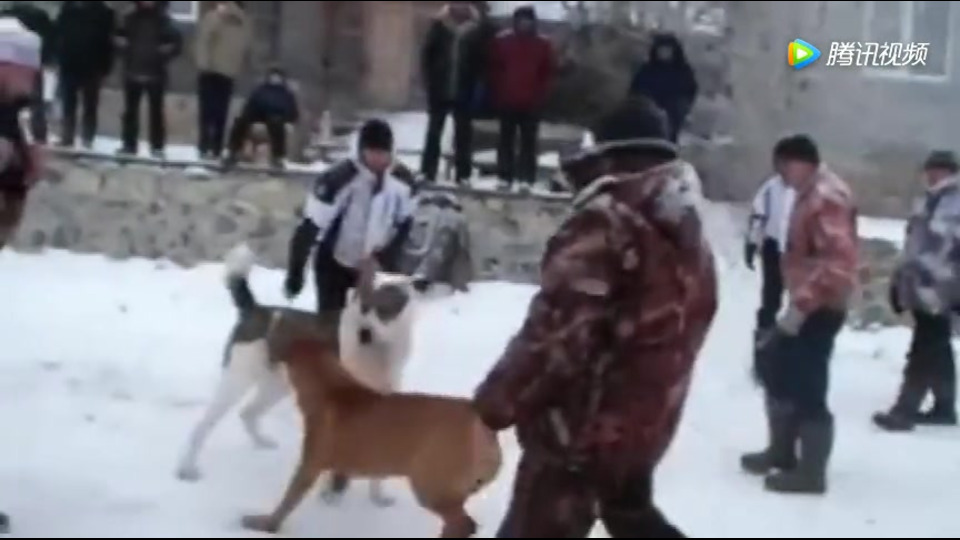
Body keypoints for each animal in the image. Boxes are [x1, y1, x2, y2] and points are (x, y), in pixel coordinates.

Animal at [176, 244, 428, 507]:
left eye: (406, 279)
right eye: (397, 289)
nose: (423, 281)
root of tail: (256, 309)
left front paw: (377, 497)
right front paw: (331, 494)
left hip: (277, 385)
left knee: (248, 413)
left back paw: (261, 441)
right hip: (238, 378)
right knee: (203, 425)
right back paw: (187, 468)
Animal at [239, 328, 503, 538]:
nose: (269, 360)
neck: (330, 386)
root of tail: (481, 425)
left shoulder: (309, 466)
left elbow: (287, 502)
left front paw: (265, 524)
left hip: (430, 485)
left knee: (463, 524)